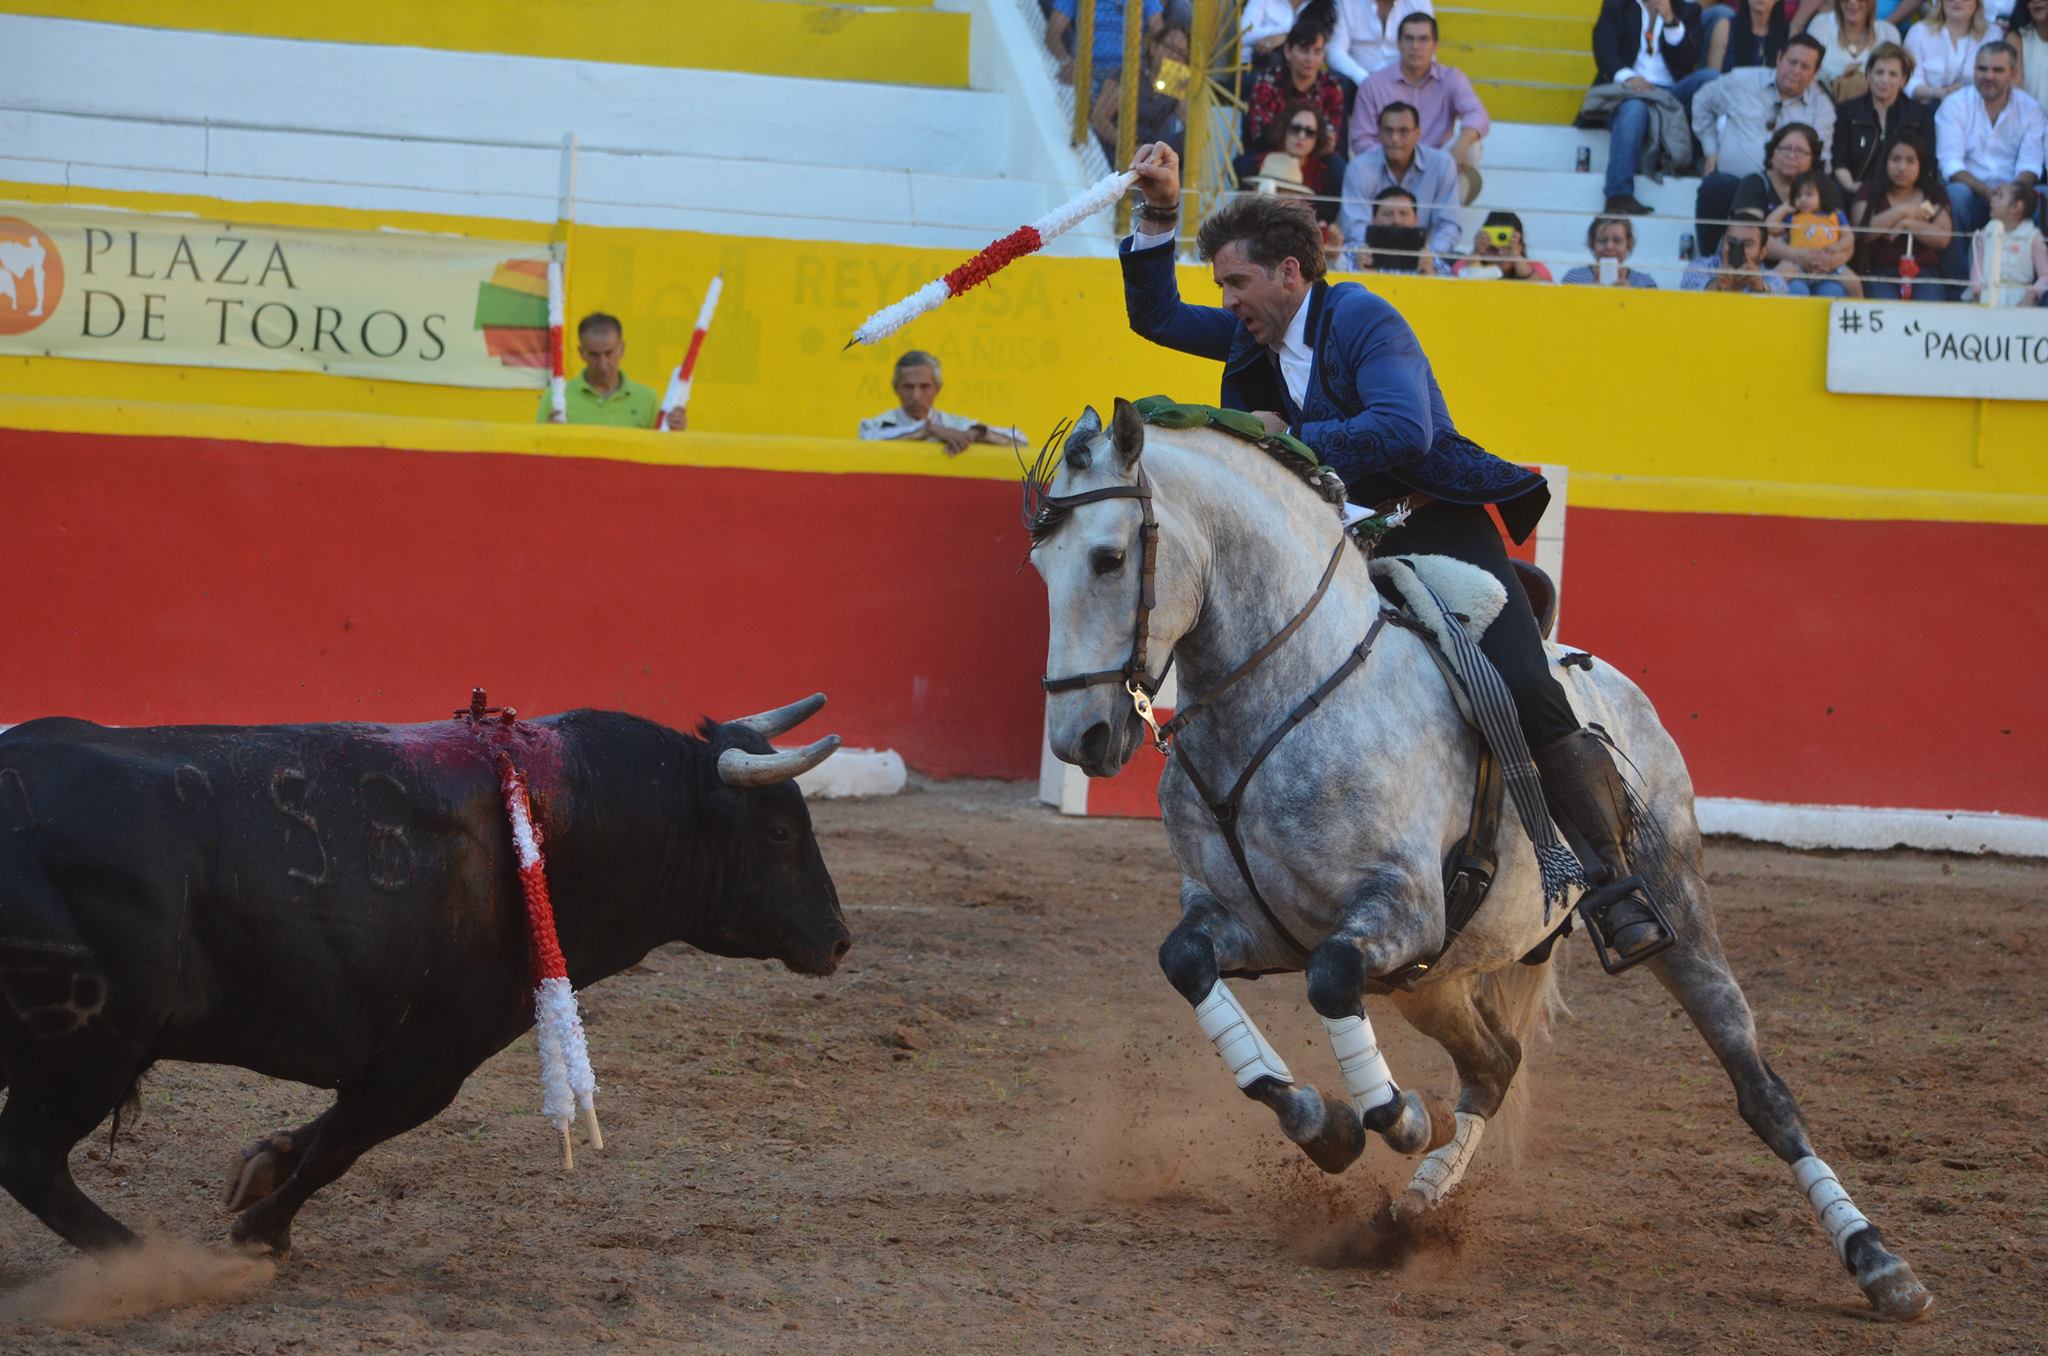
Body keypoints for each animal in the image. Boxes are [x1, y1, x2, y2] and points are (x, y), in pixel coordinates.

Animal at [0, 696, 851, 1261]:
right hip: (89, 1044)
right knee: (30, 1158)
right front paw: (259, 1231)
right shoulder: (431, 1060)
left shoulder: (404, 1058)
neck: (568, 817)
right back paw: (147, 1262)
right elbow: (343, 1142)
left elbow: (326, 1131)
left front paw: (258, 1172)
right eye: (780, 833)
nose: (839, 941)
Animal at [1032, 401, 1925, 1327]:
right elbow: (1189, 962)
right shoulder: (1252, 921)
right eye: (1040, 563)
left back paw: (1879, 1263)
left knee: (1761, 1091)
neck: (1282, 692)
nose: (1080, 740)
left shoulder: (1399, 909)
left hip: (1674, 913)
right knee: (1493, 1065)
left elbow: (1330, 978)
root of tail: (1614, 684)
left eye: (1107, 557)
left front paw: (1392, 1117)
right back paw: (1405, 1218)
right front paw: (1327, 1123)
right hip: (1437, 977)